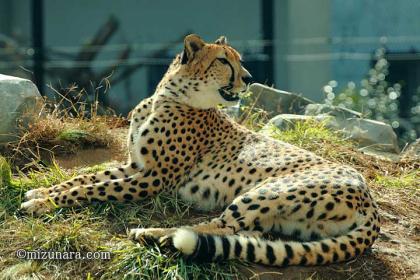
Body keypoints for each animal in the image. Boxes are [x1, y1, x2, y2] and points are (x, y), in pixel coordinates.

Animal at [20, 34, 380, 266]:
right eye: (223, 60)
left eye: (240, 62)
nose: (249, 77)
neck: (165, 98)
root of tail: (370, 200)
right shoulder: (136, 166)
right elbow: (84, 179)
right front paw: (40, 192)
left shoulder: (154, 178)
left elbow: (95, 189)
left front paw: (42, 203)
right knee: (248, 234)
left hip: (268, 189)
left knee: (221, 226)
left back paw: (155, 234)